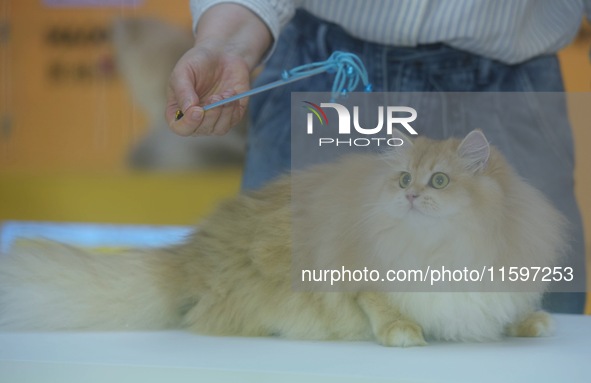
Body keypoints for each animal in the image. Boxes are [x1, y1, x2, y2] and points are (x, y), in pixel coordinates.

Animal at [0, 131, 568, 348]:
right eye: (406, 179)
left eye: (441, 181)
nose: (410, 196)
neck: (440, 249)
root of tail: (192, 255)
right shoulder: (362, 279)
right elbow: (384, 307)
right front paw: (404, 333)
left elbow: (506, 311)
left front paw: (530, 323)